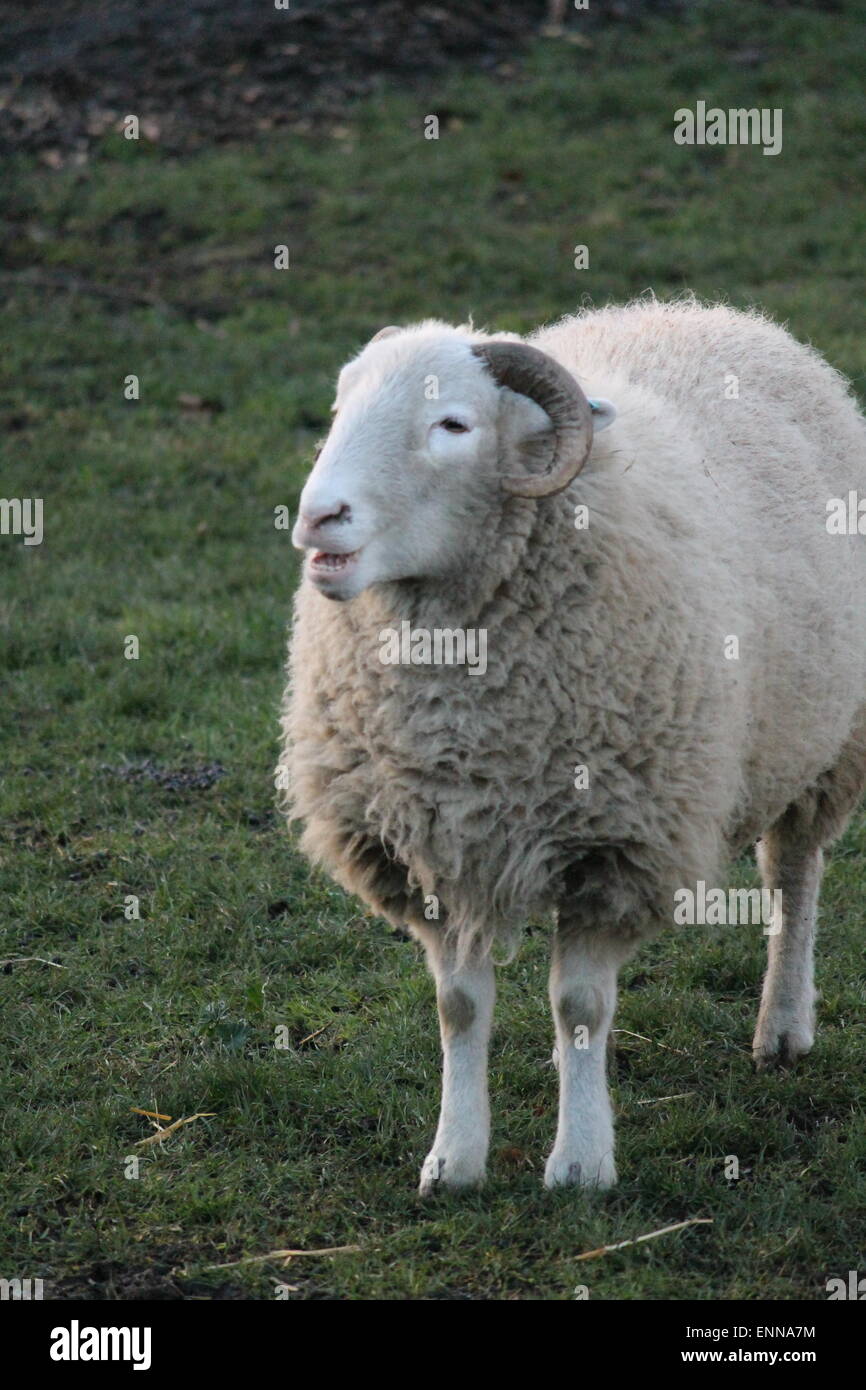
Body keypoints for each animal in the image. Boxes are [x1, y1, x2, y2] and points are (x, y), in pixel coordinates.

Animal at [280, 297, 866, 1192]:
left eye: (453, 424)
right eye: (341, 408)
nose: (318, 518)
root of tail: (713, 312)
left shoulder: (616, 844)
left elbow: (580, 1006)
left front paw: (582, 1162)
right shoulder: (430, 853)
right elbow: (459, 1008)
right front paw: (454, 1158)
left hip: (823, 745)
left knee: (793, 879)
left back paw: (783, 1026)